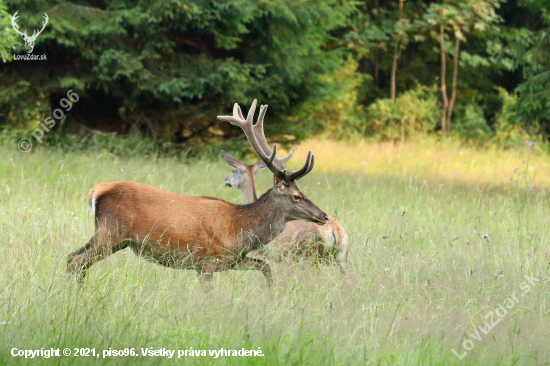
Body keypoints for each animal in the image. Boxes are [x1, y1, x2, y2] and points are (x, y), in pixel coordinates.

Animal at [67, 100, 330, 286]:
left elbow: (265, 266)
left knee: (74, 259)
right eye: (297, 196)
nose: (324, 216)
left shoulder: (232, 260)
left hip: (112, 237)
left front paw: (270, 293)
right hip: (111, 232)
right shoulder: (205, 262)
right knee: (76, 260)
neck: (239, 229)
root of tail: (95, 192)